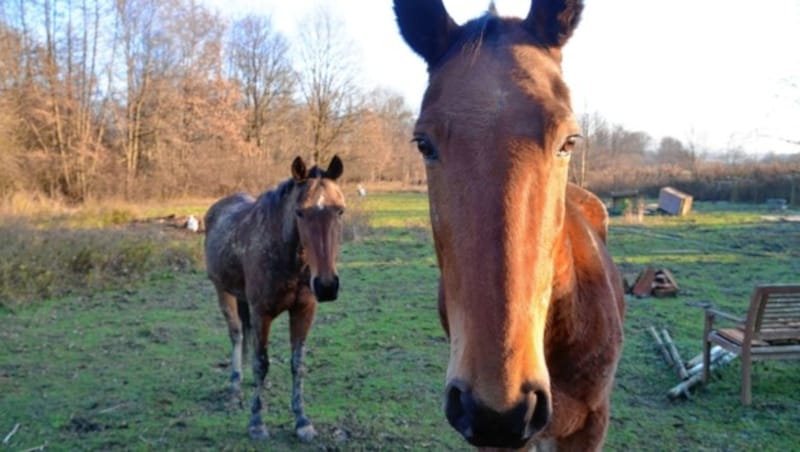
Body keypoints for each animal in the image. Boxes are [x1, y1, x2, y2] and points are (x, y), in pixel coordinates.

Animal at [203, 156, 344, 442]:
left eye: (340, 211)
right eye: (300, 212)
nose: (326, 286)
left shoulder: (304, 311)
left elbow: (297, 364)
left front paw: (302, 421)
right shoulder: (262, 313)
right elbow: (261, 362)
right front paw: (257, 423)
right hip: (223, 291)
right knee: (237, 335)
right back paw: (234, 385)